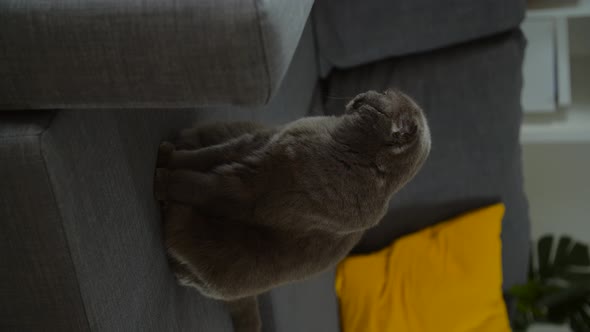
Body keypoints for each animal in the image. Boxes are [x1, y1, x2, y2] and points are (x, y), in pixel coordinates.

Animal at [153, 89, 432, 330]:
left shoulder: (246, 190)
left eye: (384, 95)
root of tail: (249, 296)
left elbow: (195, 184)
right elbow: (204, 157)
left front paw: (162, 178)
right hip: (228, 128)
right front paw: (168, 157)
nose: (367, 92)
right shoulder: (252, 143)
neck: (336, 139)